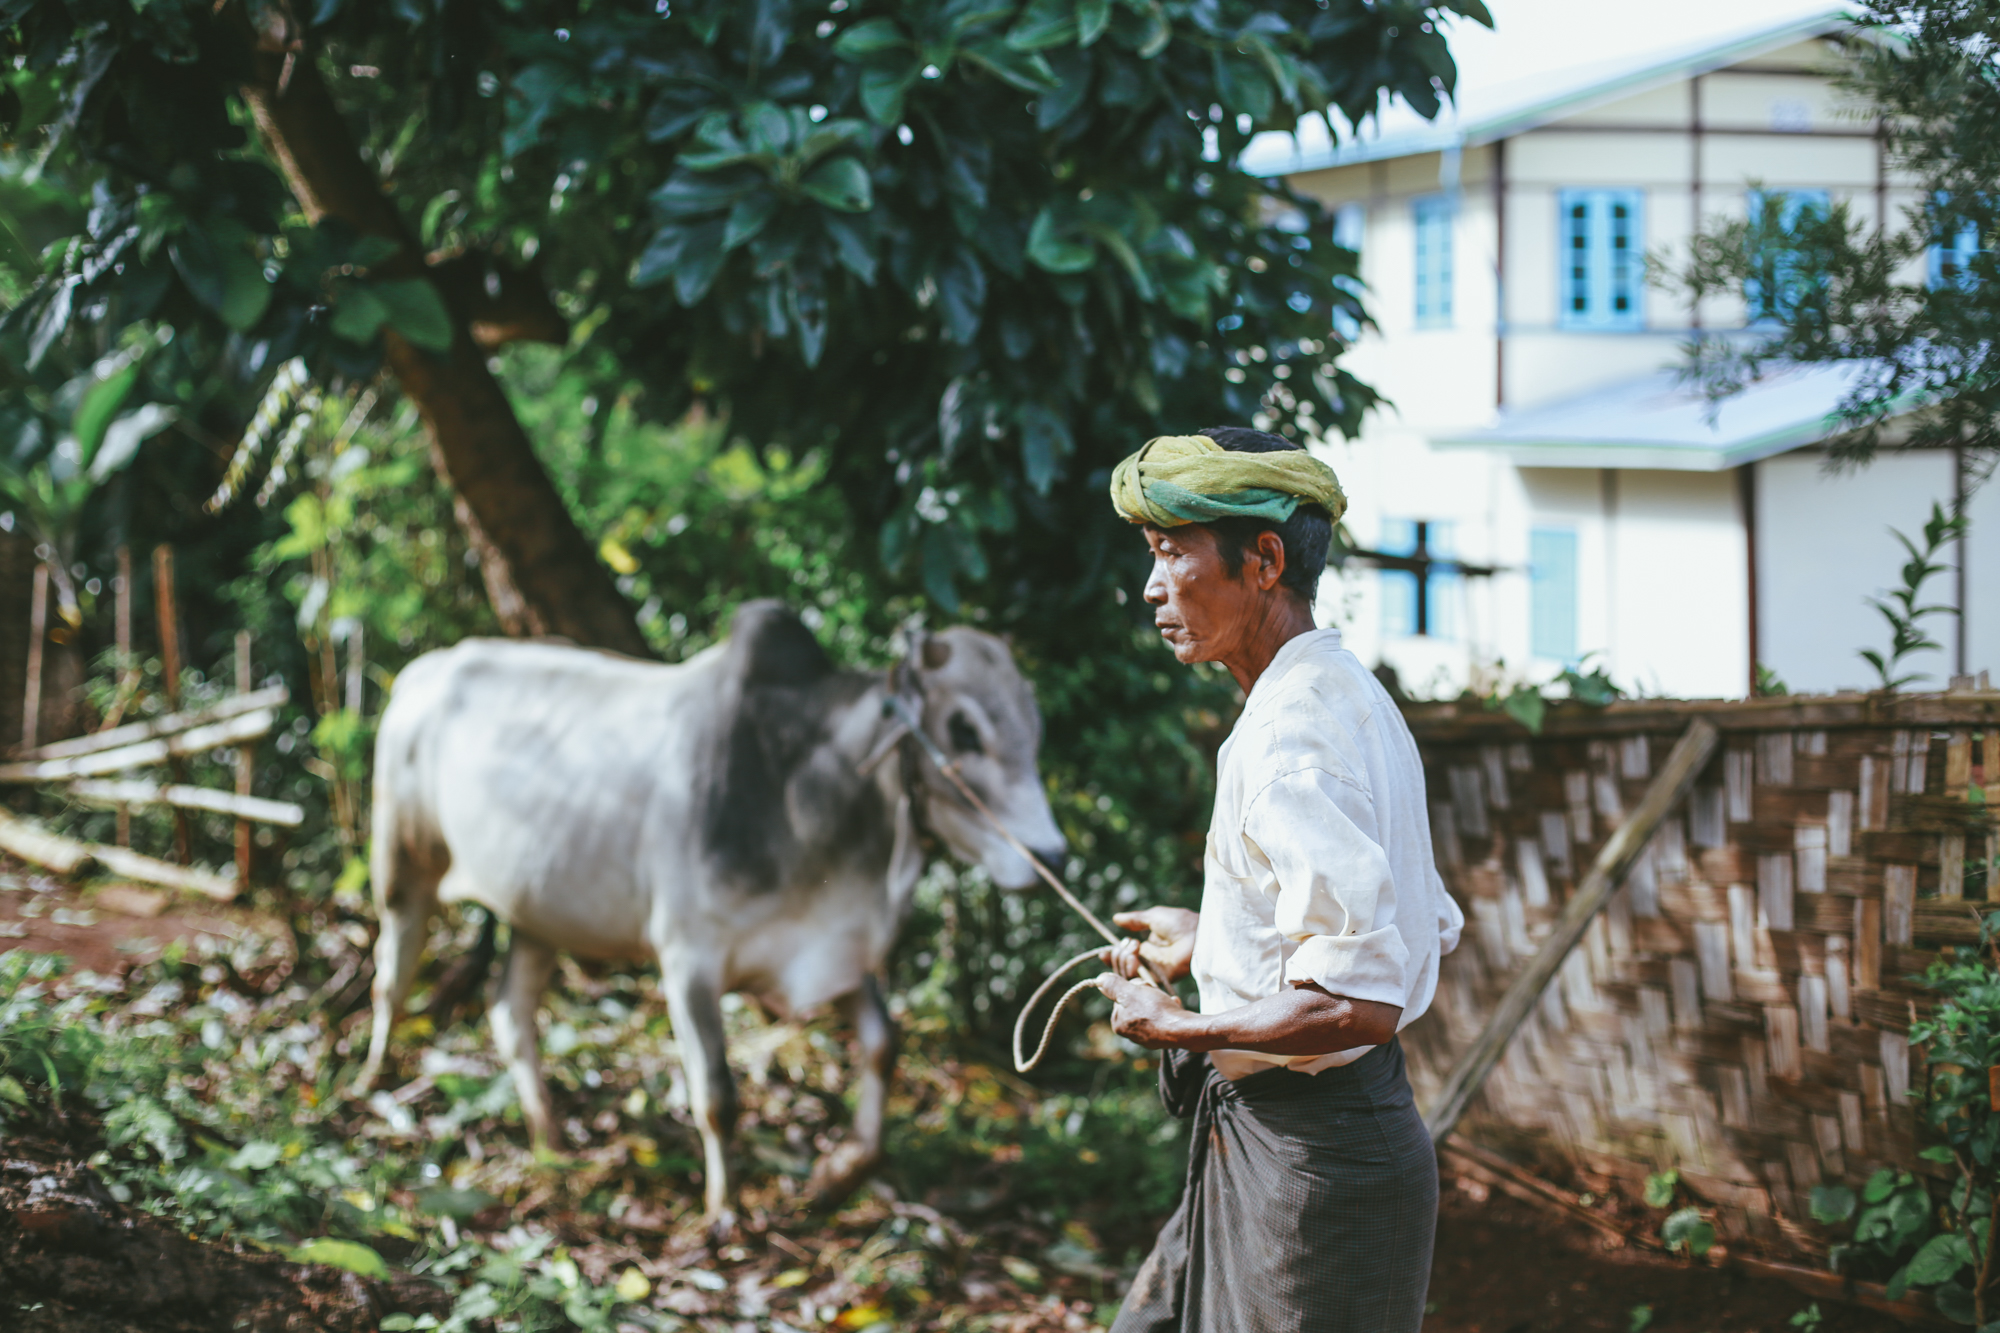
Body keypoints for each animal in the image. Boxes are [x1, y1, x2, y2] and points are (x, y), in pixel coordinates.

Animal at [352, 596, 1072, 1216]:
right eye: (964, 728)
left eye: (1038, 728)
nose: (1054, 856)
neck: (804, 792)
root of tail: (425, 669)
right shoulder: (688, 960)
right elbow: (718, 1095)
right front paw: (724, 1211)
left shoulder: (834, 952)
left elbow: (883, 1046)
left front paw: (838, 1174)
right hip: (403, 867)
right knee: (392, 976)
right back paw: (371, 1080)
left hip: (536, 910)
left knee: (510, 1015)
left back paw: (550, 1138)